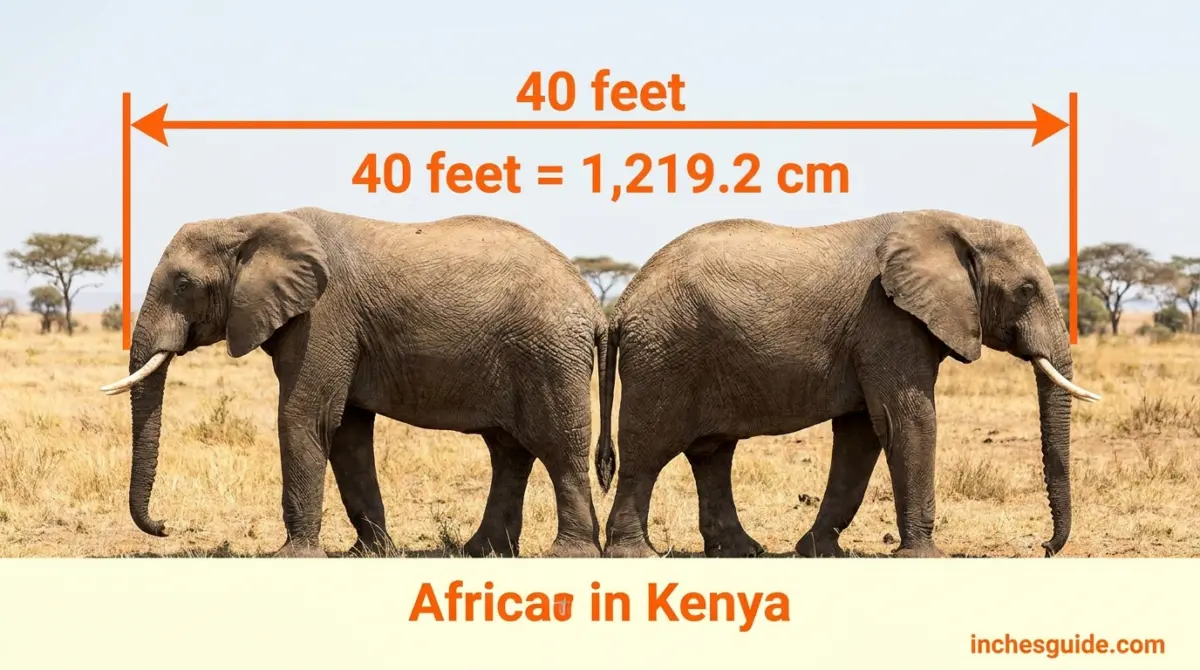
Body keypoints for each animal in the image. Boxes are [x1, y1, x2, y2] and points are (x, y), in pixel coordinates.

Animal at [99, 206, 611, 558]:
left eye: (184, 285)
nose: (165, 525)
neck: (249, 221)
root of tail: (592, 302)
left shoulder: (323, 317)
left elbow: (305, 418)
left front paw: (293, 557)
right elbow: (347, 433)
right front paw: (369, 554)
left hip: (550, 355)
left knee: (558, 447)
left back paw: (568, 554)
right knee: (509, 451)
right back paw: (481, 552)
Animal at [594, 209, 1101, 559]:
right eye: (1027, 291)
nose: (1043, 547)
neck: (959, 224)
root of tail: (623, 304)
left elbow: (861, 436)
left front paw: (818, 552)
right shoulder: (887, 320)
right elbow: (907, 421)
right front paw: (925, 557)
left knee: (712, 453)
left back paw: (744, 551)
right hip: (665, 354)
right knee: (648, 451)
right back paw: (636, 554)